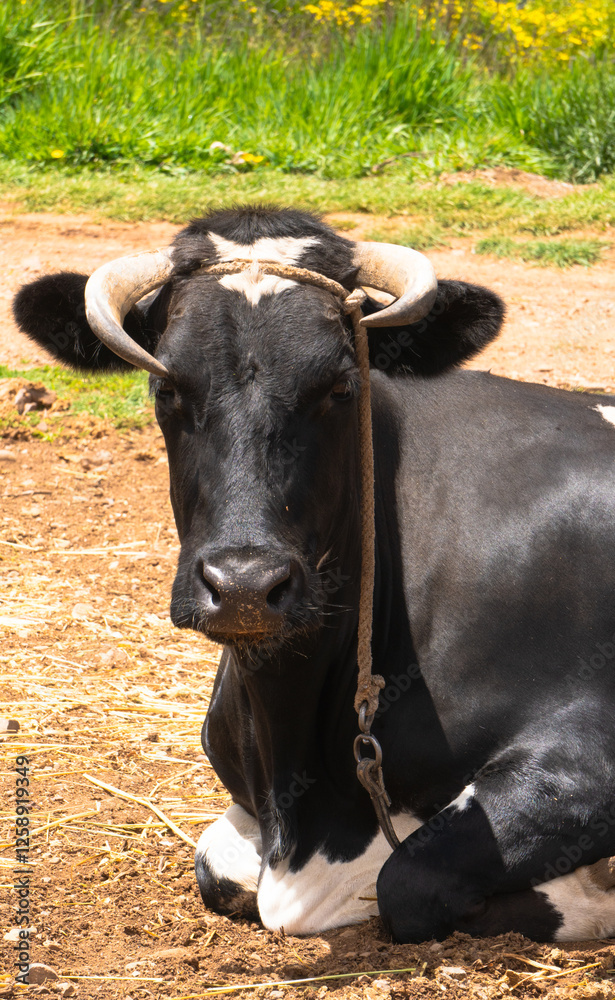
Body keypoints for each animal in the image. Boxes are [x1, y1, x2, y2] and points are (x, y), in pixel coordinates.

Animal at [13, 205, 615, 944]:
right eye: (166, 386)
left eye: (339, 387)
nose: (244, 586)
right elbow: (216, 866)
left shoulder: (587, 748)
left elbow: (409, 876)